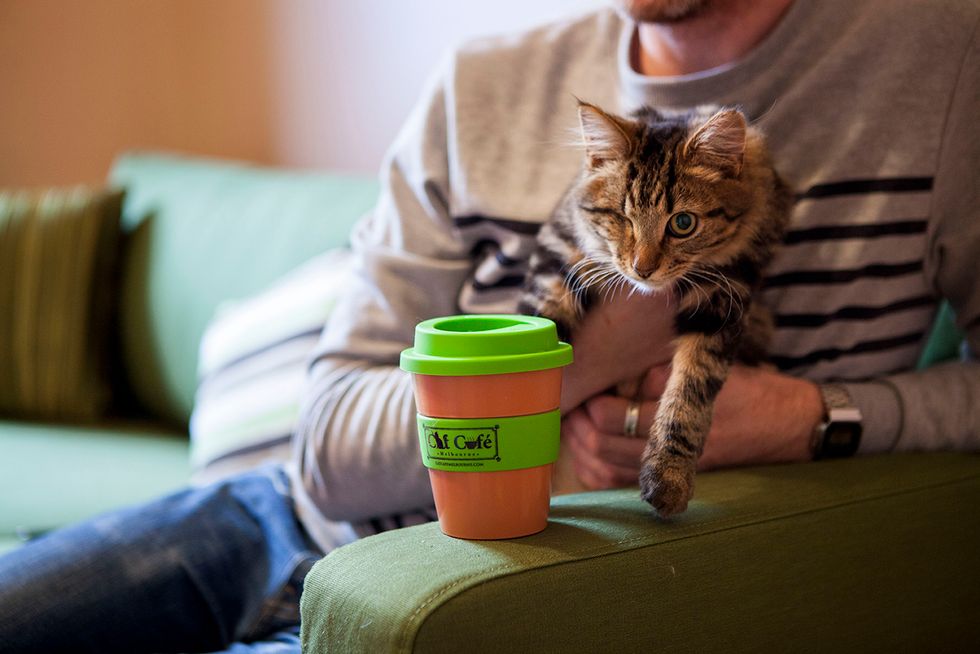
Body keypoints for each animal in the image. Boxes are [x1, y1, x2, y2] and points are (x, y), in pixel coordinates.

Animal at [518, 101, 793, 517]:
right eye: (620, 218)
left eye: (683, 223)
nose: (642, 269)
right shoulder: (558, 258)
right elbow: (536, 332)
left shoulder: (722, 302)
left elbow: (688, 398)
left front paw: (669, 479)